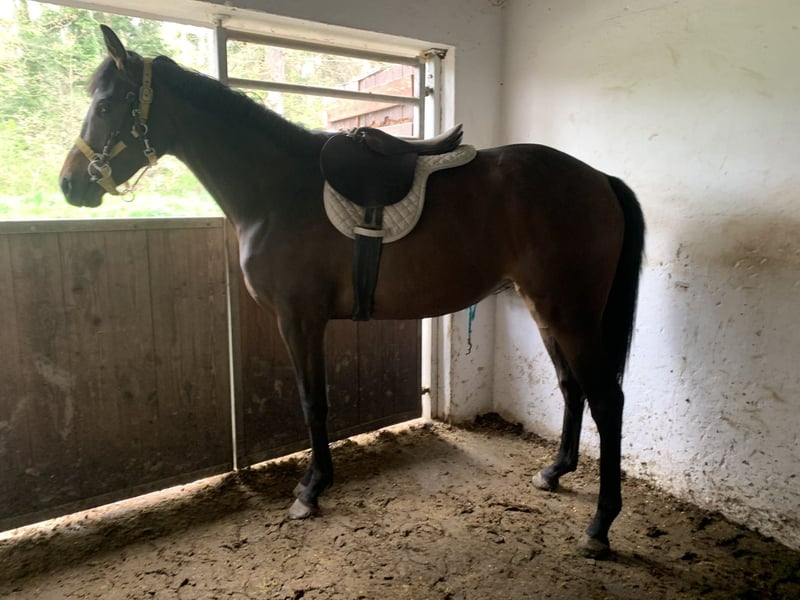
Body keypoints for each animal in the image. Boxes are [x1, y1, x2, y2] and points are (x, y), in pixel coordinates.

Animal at [59, 26, 645, 559]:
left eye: (107, 105)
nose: (70, 184)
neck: (278, 190)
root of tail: (599, 178)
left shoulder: (299, 319)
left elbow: (313, 402)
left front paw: (311, 490)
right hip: (545, 309)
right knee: (572, 387)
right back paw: (555, 472)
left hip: (570, 313)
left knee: (607, 400)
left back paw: (600, 526)